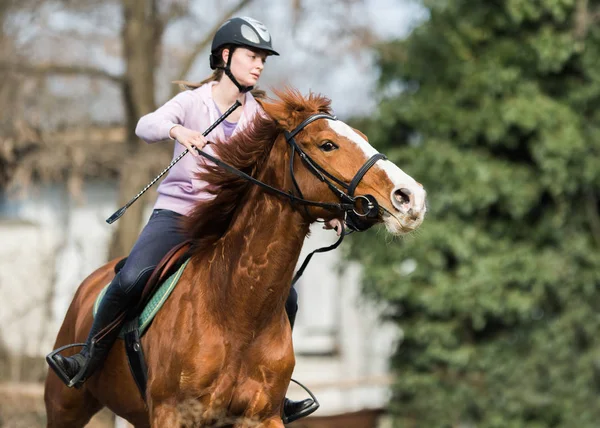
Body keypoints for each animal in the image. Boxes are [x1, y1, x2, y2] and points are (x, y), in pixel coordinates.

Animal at [43, 88, 426, 426]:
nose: (411, 197)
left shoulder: (262, 417)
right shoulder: (171, 414)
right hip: (66, 408)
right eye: (327, 144)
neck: (235, 309)